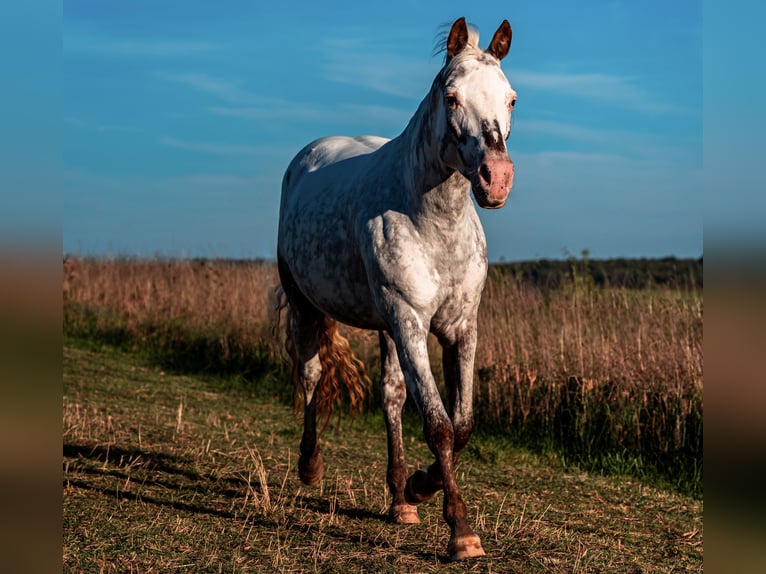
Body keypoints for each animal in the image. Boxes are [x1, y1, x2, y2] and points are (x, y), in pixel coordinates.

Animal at [276, 18, 516, 564]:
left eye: (511, 99)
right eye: (451, 96)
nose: (496, 180)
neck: (433, 222)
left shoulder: (459, 328)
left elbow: (461, 424)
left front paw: (418, 487)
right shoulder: (409, 322)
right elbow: (439, 424)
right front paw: (461, 532)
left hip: (385, 327)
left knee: (390, 395)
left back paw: (399, 498)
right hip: (307, 307)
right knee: (311, 376)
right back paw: (310, 467)